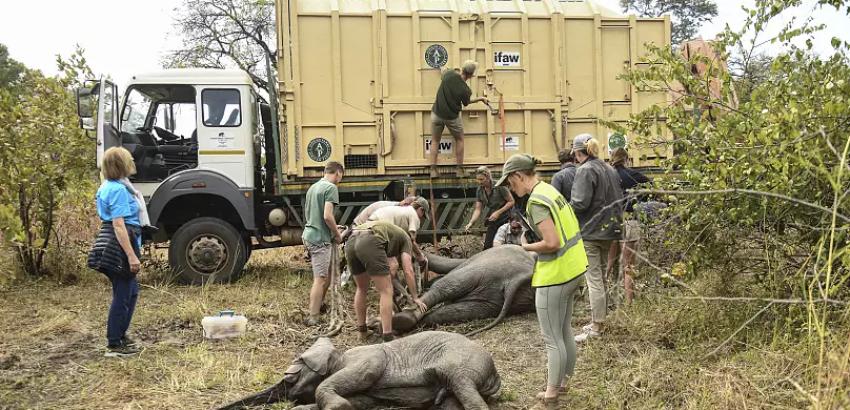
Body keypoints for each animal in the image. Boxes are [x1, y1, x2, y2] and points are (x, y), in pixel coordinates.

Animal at [215, 332, 500, 408]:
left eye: (289, 380)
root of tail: (494, 375)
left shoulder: (368, 358)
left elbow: (367, 372)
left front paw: (337, 407)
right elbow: (362, 401)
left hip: (461, 362)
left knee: (461, 385)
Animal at [392, 243, 536, 336]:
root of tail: (515, 279)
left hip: (487, 269)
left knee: (445, 286)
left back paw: (401, 319)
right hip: (500, 301)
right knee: (459, 311)